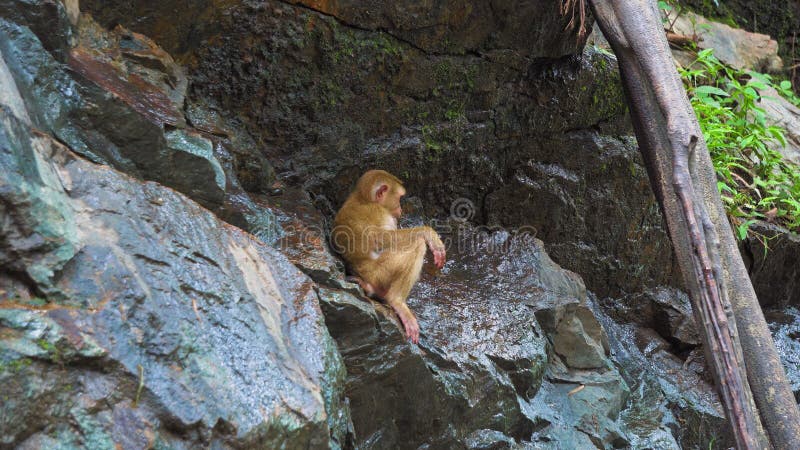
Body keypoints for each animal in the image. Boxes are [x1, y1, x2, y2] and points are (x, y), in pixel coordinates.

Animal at [330, 171, 444, 342]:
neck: (363, 198)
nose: (401, 208)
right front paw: (429, 234)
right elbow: (379, 238)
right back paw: (397, 302)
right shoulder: (379, 212)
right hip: (379, 273)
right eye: (399, 198)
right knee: (417, 244)